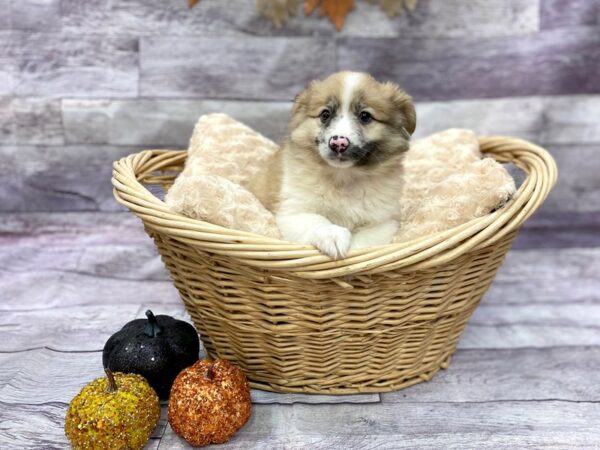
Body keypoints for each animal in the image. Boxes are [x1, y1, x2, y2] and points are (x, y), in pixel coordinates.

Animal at [274, 71, 414, 258]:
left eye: (365, 116)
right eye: (325, 114)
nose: (338, 143)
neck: (343, 177)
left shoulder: (385, 221)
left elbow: (364, 243)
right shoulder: (293, 211)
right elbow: (319, 220)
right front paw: (333, 236)